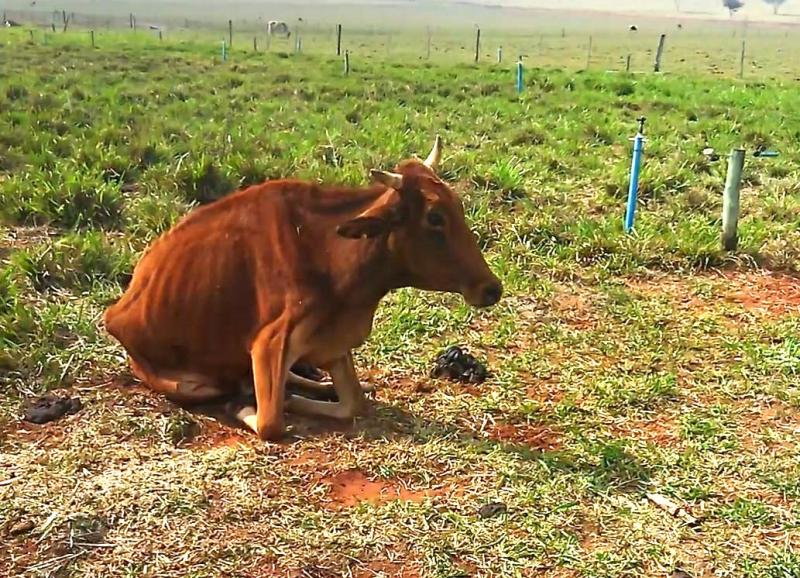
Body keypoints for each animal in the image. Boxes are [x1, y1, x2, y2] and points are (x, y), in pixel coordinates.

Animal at [100, 137, 500, 438]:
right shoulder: (268, 343)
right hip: (184, 382)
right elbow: (271, 423)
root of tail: (118, 310)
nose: (492, 288)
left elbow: (353, 403)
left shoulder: (332, 341)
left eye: (458, 206)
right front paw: (254, 405)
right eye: (435, 217)